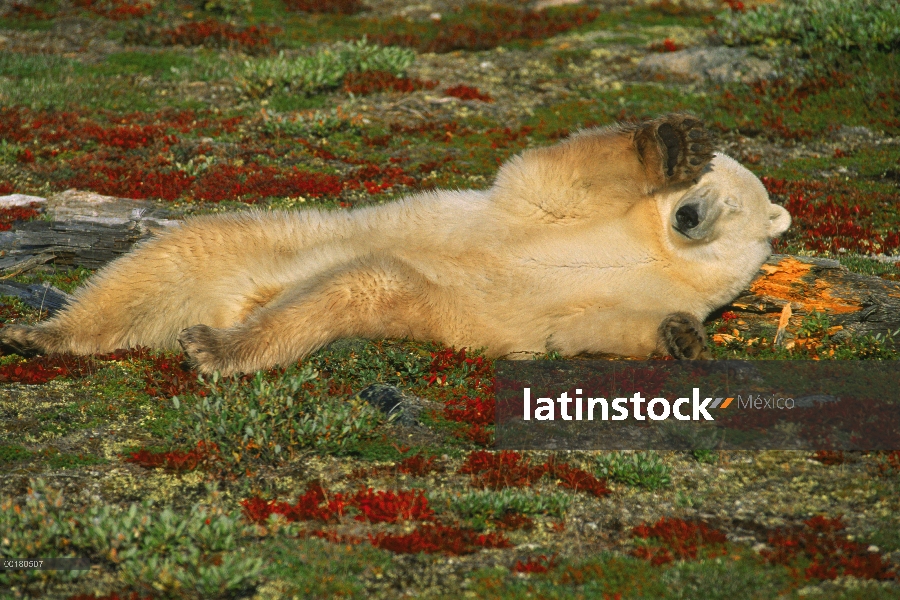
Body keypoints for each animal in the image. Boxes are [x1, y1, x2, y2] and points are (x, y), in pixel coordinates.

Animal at [0, 114, 788, 372]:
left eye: (733, 203)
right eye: (708, 183)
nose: (690, 216)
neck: (656, 253)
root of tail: (241, 296)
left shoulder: (620, 291)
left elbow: (584, 329)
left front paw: (681, 338)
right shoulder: (562, 210)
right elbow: (558, 173)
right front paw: (675, 142)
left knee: (349, 291)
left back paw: (213, 344)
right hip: (265, 235)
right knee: (159, 263)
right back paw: (44, 333)